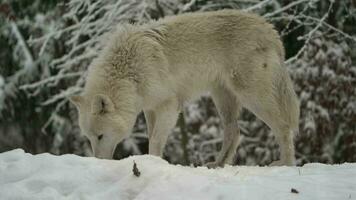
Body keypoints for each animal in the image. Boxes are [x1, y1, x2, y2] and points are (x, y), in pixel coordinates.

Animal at [71, 9, 298, 167]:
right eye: (89, 138)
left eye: (100, 136)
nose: (99, 161)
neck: (130, 74)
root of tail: (270, 30)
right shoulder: (149, 108)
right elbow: (152, 136)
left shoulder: (169, 106)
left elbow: (155, 140)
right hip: (222, 98)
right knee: (234, 132)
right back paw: (218, 164)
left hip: (253, 96)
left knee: (283, 127)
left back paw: (285, 163)